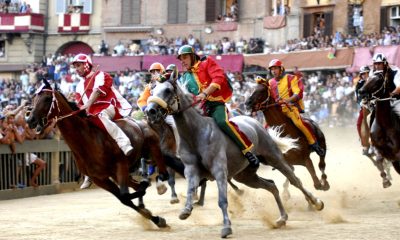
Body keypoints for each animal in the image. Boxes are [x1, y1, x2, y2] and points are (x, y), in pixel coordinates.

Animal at [27, 79, 184, 229]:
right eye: (34, 98)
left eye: (47, 98)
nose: (30, 120)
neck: (87, 140)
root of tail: (144, 122)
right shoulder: (99, 178)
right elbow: (125, 198)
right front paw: (157, 219)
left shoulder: (120, 165)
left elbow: (126, 195)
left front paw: (146, 192)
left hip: (153, 151)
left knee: (164, 174)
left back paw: (160, 186)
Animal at [145, 79, 324, 238]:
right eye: (152, 91)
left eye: (168, 90)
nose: (150, 111)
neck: (195, 133)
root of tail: (254, 122)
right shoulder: (191, 169)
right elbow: (190, 190)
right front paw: (186, 210)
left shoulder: (219, 170)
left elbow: (222, 200)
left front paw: (226, 227)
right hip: (245, 175)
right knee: (271, 186)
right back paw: (282, 218)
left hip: (274, 157)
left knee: (294, 180)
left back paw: (316, 202)